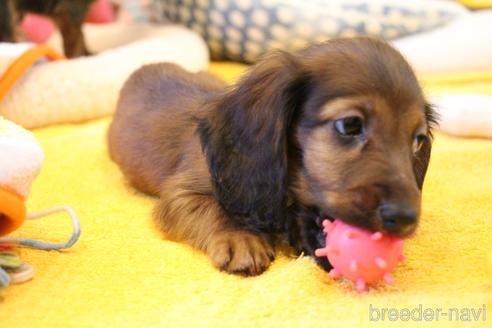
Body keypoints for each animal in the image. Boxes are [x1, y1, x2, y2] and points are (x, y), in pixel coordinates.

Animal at [109, 37, 436, 274]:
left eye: (417, 141)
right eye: (349, 125)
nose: (405, 219)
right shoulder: (181, 192)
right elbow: (214, 208)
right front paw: (239, 236)